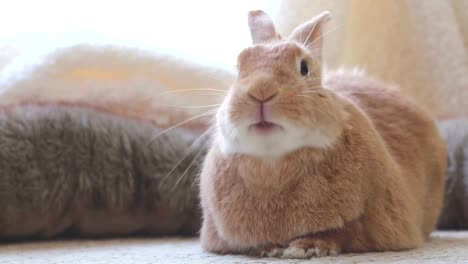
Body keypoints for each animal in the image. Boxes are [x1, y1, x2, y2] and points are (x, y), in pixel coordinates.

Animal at [197, 9, 446, 258]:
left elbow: (343, 232)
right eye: (239, 68)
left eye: (304, 67)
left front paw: (306, 247)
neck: (273, 164)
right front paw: (271, 248)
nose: (261, 91)